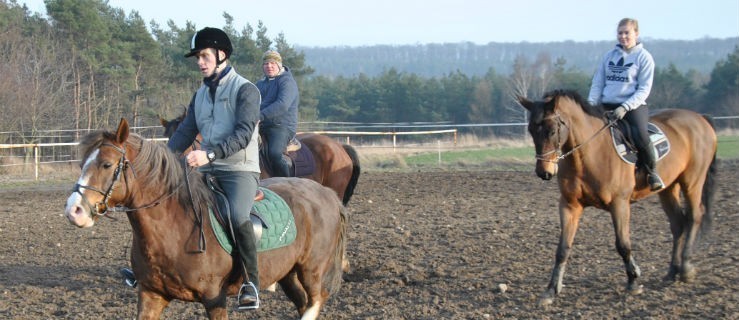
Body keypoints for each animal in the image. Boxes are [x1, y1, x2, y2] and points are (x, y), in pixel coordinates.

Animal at [62, 119, 346, 318]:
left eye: (107, 165)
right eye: (82, 164)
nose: (74, 210)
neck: (174, 229)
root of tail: (327, 194)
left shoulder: (214, 299)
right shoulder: (151, 295)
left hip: (311, 269)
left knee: (315, 301)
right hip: (287, 273)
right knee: (303, 302)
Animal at [516, 91, 720, 306]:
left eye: (552, 130)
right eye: (531, 130)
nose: (543, 172)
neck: (589, 154)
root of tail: (699, 118)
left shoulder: (619, 203)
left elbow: (622, 244)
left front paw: (633, 282)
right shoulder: (569, 205)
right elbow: (562, 248)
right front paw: (551, 291)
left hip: (692, 181)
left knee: (694, 217)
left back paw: (686, 269)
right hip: (669, 188)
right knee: (678, 223)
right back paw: (673, 272)